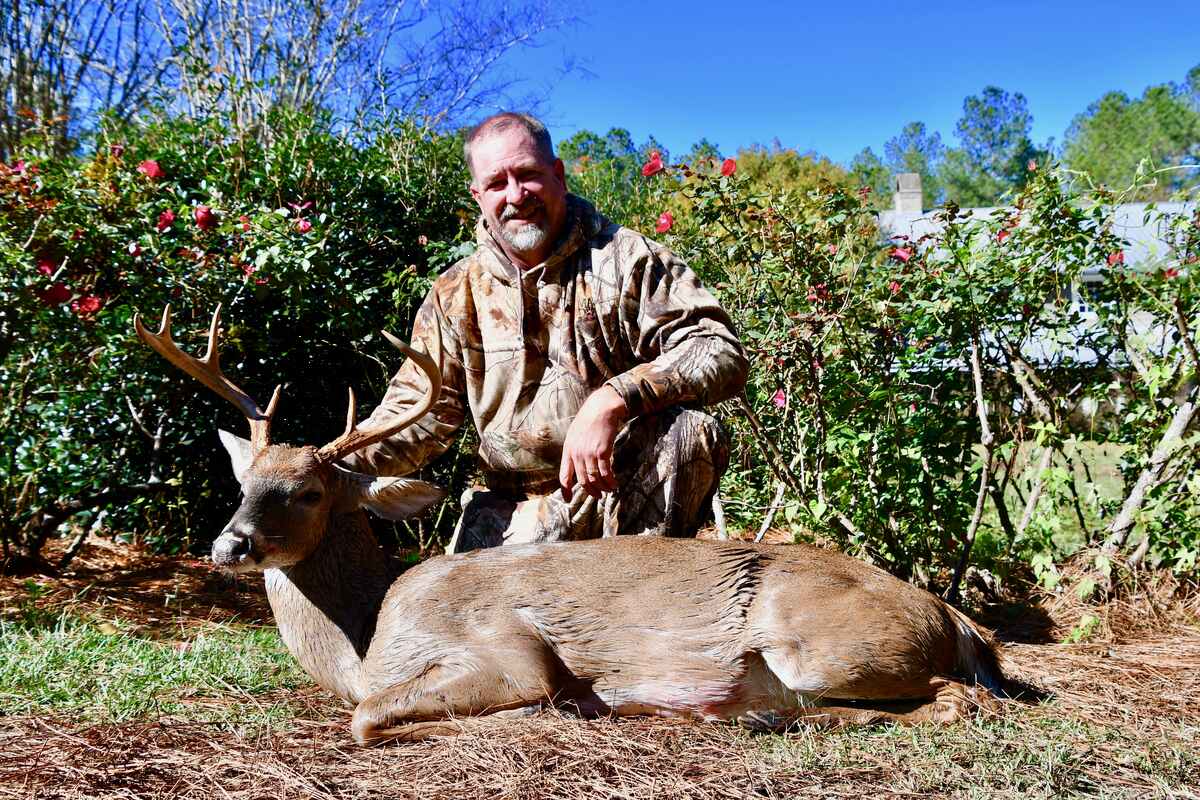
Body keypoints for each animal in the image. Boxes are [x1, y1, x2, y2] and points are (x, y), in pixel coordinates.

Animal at [135, 304, 1007, 746]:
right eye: (245, 480)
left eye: (311, 491)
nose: (230, 542)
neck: (369, 644)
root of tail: (956, 619)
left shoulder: (506, 649)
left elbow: (366, 719)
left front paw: (546, 710)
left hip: (822, 645)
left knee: (963, 701)